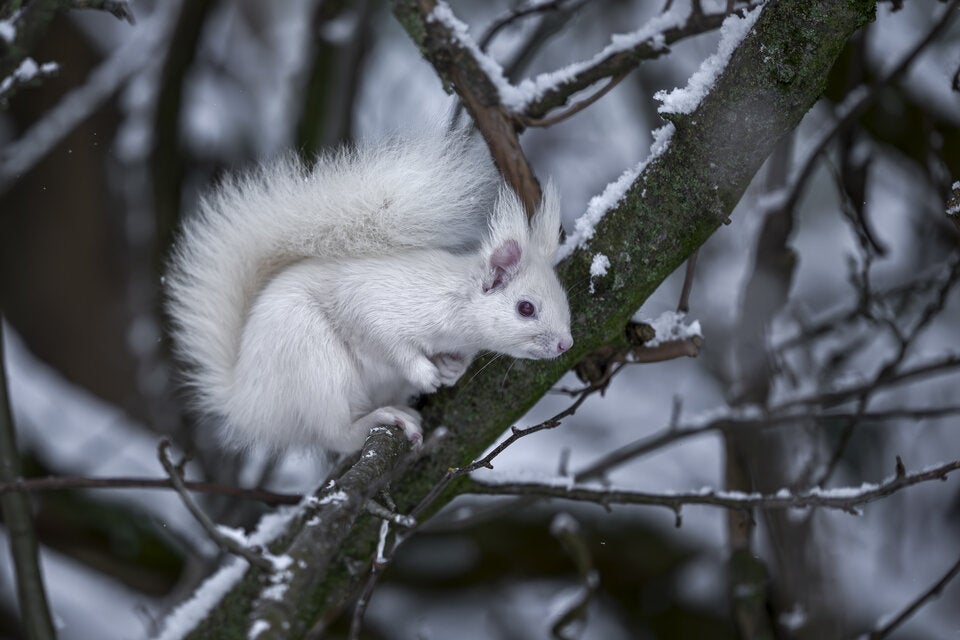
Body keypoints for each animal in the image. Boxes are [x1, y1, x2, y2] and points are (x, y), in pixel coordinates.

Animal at [165, 130, 573, 453]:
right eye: (525, 308)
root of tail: (246, 403)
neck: (455, 305)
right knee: (338, 435)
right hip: (314, 362)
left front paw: (452, 368)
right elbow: (385, 341)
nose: (565, 344)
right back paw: (381, 419)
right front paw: (424, 372)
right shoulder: (375, 304)